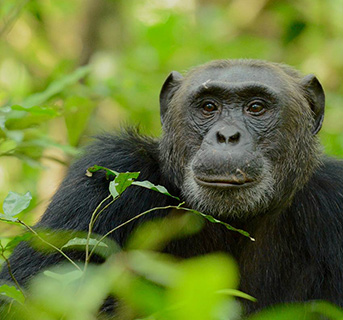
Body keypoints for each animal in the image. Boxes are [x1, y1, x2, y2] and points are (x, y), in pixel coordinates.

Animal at [0, 58, 343, 314]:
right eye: (208, 107)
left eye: (256, 107)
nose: (227, 136)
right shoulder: (108, 172)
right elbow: (27, 296)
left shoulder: (335, 197)